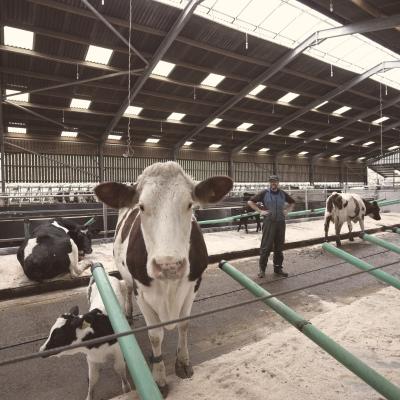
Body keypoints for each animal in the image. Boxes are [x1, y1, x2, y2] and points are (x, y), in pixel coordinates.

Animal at [94, 160, 233, 396]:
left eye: (189, 204)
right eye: (141, 206)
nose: (169, 265)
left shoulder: (194, 285)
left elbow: (184, 324)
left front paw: (183, 362)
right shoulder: (142, 291)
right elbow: (155, 335)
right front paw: (159, 378)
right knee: (127, 289)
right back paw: (128, 314)